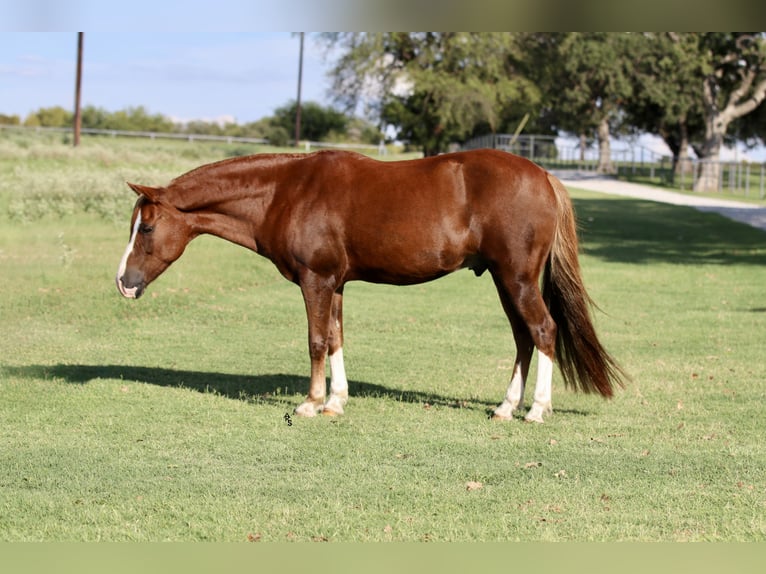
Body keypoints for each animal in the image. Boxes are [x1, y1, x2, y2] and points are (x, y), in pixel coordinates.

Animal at [116, 149, 625, 422]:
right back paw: (505, 407)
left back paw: (536, 410)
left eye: (146, 227)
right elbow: (337, 338)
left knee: (543, 331)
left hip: (515, 278)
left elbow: (317, 340)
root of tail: (544, 176)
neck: (287, 191)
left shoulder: (315, 280)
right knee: (522, 338)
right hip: (505, 281)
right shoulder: (335, 283)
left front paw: (311, 403)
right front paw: (336, 402)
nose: (123, 282)